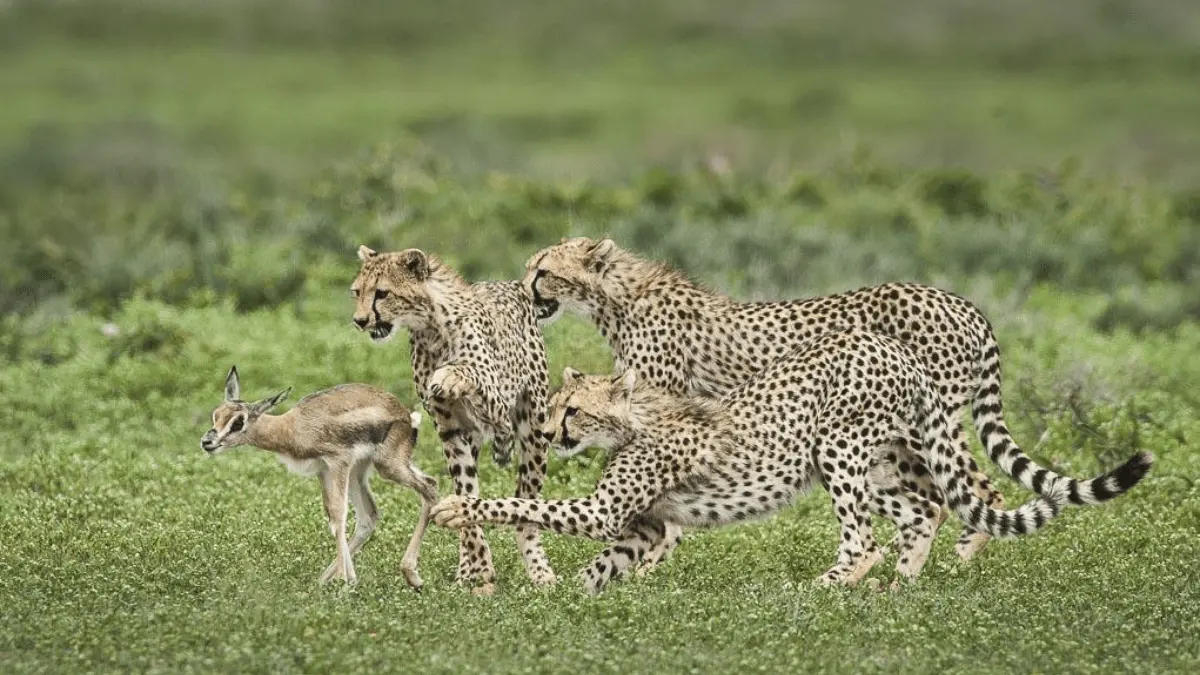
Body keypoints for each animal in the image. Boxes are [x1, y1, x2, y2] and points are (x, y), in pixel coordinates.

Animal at [350, 243, 556, 590]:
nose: (360, 320)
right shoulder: (450, 429)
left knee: (526, 506)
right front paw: (478, 568)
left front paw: (450, 375)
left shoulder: (499, 408)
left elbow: (469, 373)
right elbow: (465, 491)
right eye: (357, 292)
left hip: (534, 432)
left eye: (382, 293)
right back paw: (466, 564)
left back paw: (539, 569)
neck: (431, 327)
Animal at [432, 329, 1152, 590]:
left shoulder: (608, 510)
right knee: (923, 509)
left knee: (864, 538)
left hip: (835, 447)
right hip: (874, 459)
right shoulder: (642, 526)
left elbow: (522, 503)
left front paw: (453, 508)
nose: (550, 433)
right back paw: (897, 588)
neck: (635, 420)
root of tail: (892, 348)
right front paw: (564, 604)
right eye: (554, 406)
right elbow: (601, 566)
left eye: (574, 410)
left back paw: (821, 589)